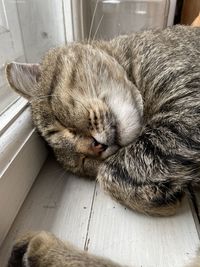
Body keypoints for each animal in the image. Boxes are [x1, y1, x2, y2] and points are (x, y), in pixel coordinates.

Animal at [5, 25, 200, 217]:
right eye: (83, 162)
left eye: (62, 125)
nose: (96, 147)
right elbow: (107, 173)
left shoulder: (186, 107)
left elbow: (108, 173)